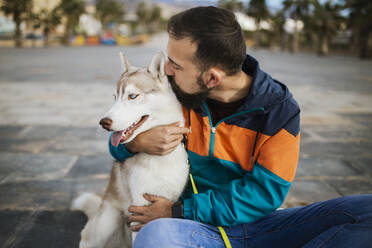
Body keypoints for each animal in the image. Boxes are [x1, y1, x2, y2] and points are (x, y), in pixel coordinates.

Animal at [71, 51, 190, 247]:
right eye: (115, 97)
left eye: (132, 96)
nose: (104, 122)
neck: (160, 158)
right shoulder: (139, 209)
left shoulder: (169, 202)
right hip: (107, 222)